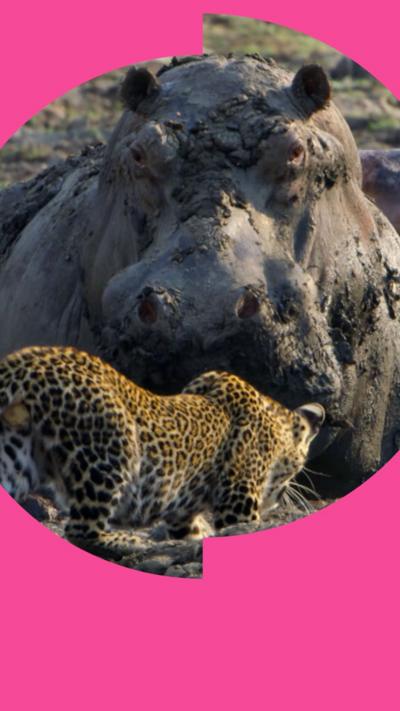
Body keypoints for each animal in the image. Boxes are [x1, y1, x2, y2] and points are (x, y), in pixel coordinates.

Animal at [0, 346, 325, 554]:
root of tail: (22, 365)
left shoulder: (183, 515)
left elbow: (193, 531)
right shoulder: (238, 498)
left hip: (15, 453)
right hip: (112, 446)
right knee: (80, 530)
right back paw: (127, 541)